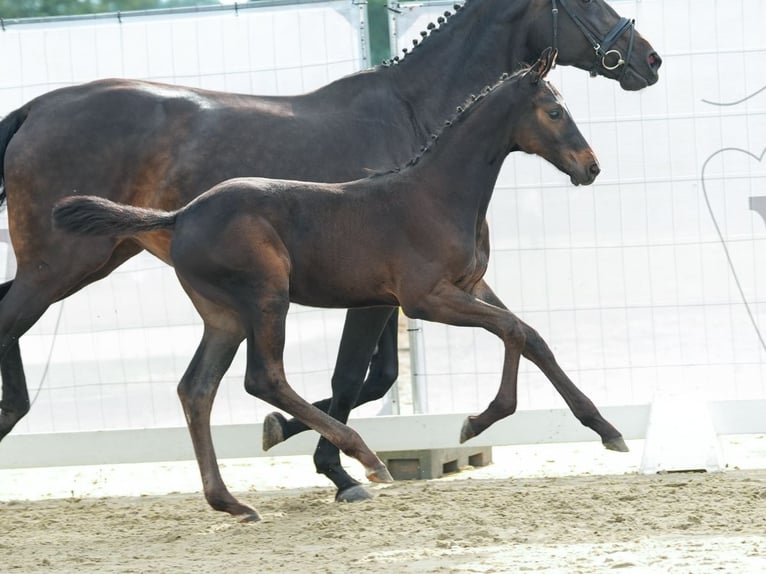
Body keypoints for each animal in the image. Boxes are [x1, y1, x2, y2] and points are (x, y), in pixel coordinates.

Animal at [0, 0, 660, 512]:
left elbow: (525, 336)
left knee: (194, 385)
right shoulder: (406, 296)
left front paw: (605, 428)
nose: (649, 60)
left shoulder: (456, 286)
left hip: (166, 289)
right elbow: (365, 374)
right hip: (106, 271)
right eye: (555, 109)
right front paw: (348, 465)